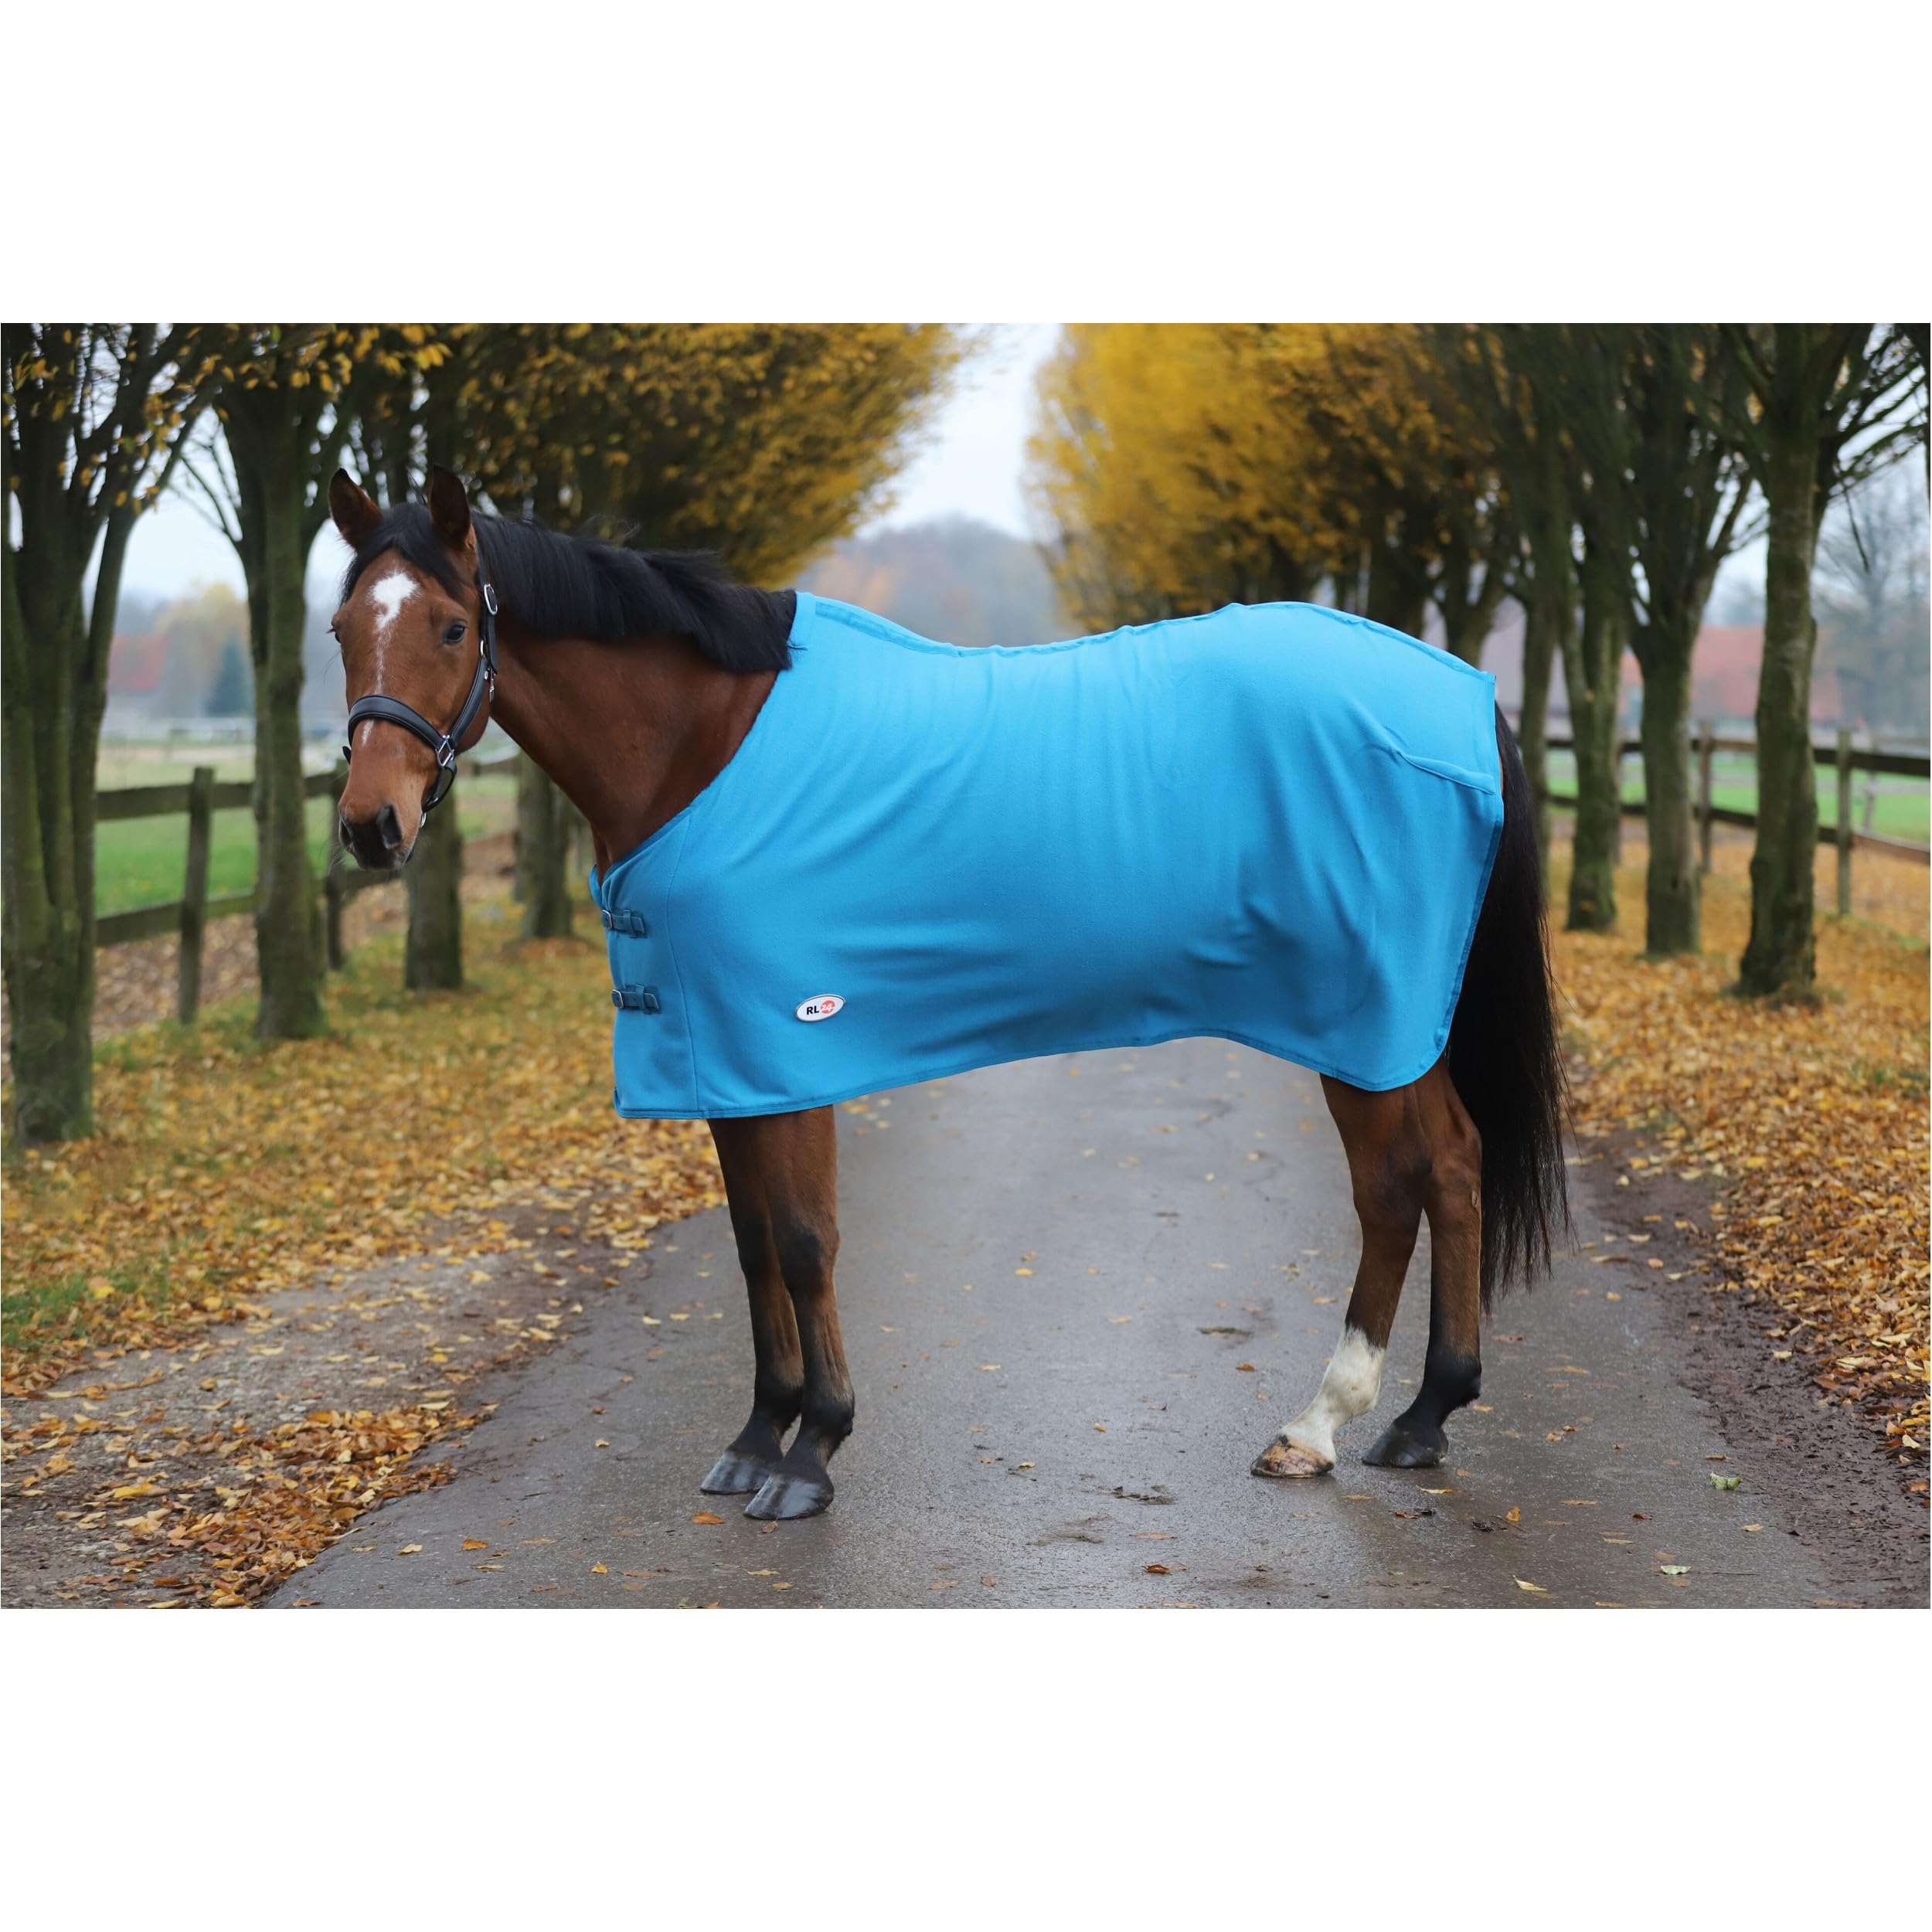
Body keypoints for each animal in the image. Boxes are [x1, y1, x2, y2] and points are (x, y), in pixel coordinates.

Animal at [327, 465, 1569, 1522]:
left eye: (450, 627)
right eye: (342, 631)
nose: (369, 827)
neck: (707, 747)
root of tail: (1464, 693)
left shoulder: (792, 1043)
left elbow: (805, 1239)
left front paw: (814, 1451)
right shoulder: (719, 1057)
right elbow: (749, 1242)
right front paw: (757, 1438)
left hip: (1366, 1017)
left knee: (1399, 1183)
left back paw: (1322, 1423)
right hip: (1394, 1026)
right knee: (1452, 1167)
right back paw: (1422, 1414)